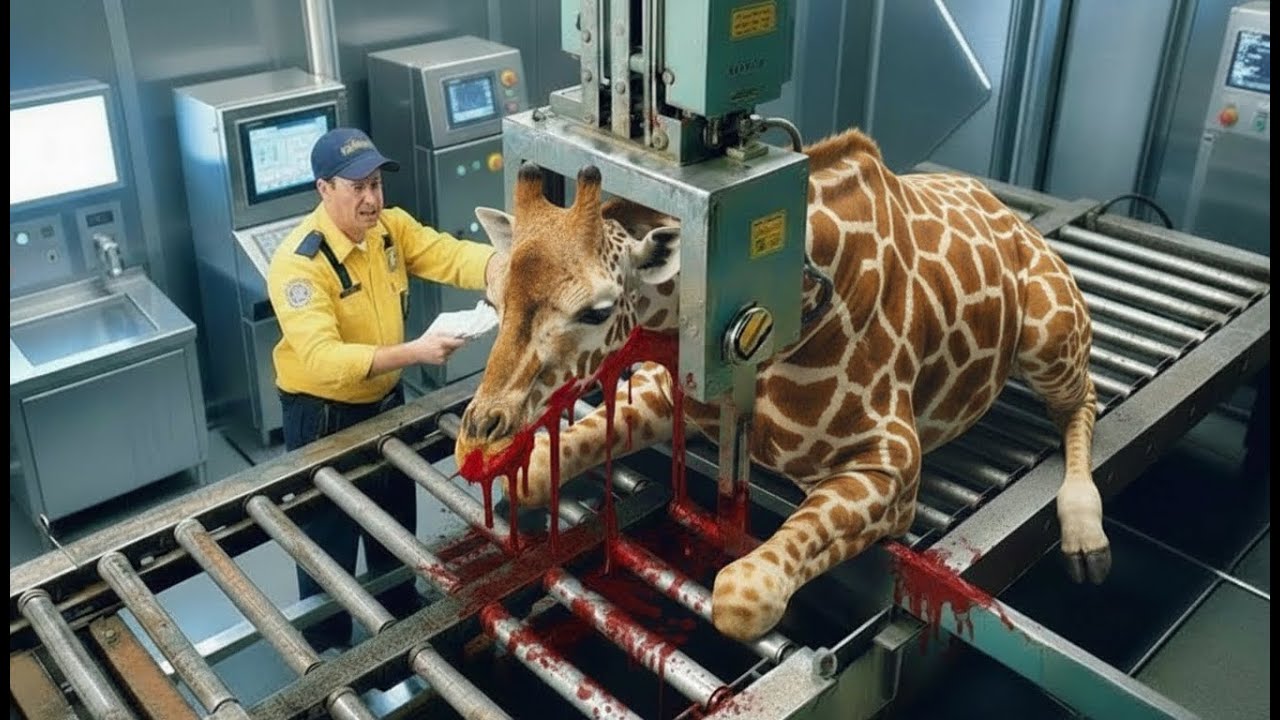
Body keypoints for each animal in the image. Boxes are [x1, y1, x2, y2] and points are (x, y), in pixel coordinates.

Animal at [455, 127, 1110, 642]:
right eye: (491, 294)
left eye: (596, 310)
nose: (478, 434)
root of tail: (1007, 209)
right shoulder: (673, 391)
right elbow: (538, 472)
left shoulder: (894, 466)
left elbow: (742, 595)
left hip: (1050, 332)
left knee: (1085, 401)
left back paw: (1086, 538)